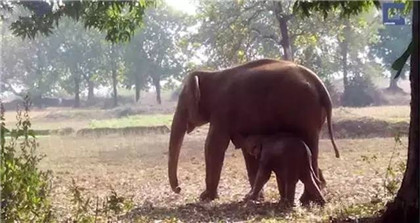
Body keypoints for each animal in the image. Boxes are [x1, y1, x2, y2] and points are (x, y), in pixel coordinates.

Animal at [167, 58, 338, 201]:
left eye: (182, 103)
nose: (179, 188)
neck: (211, 74)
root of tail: (320, 85)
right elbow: (245, 150)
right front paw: (255, 196)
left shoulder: (222, 110)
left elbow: (213, 146)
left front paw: (205, 197)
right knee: (311, 148)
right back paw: (313, 195)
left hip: (304, 112)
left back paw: (307, 199)